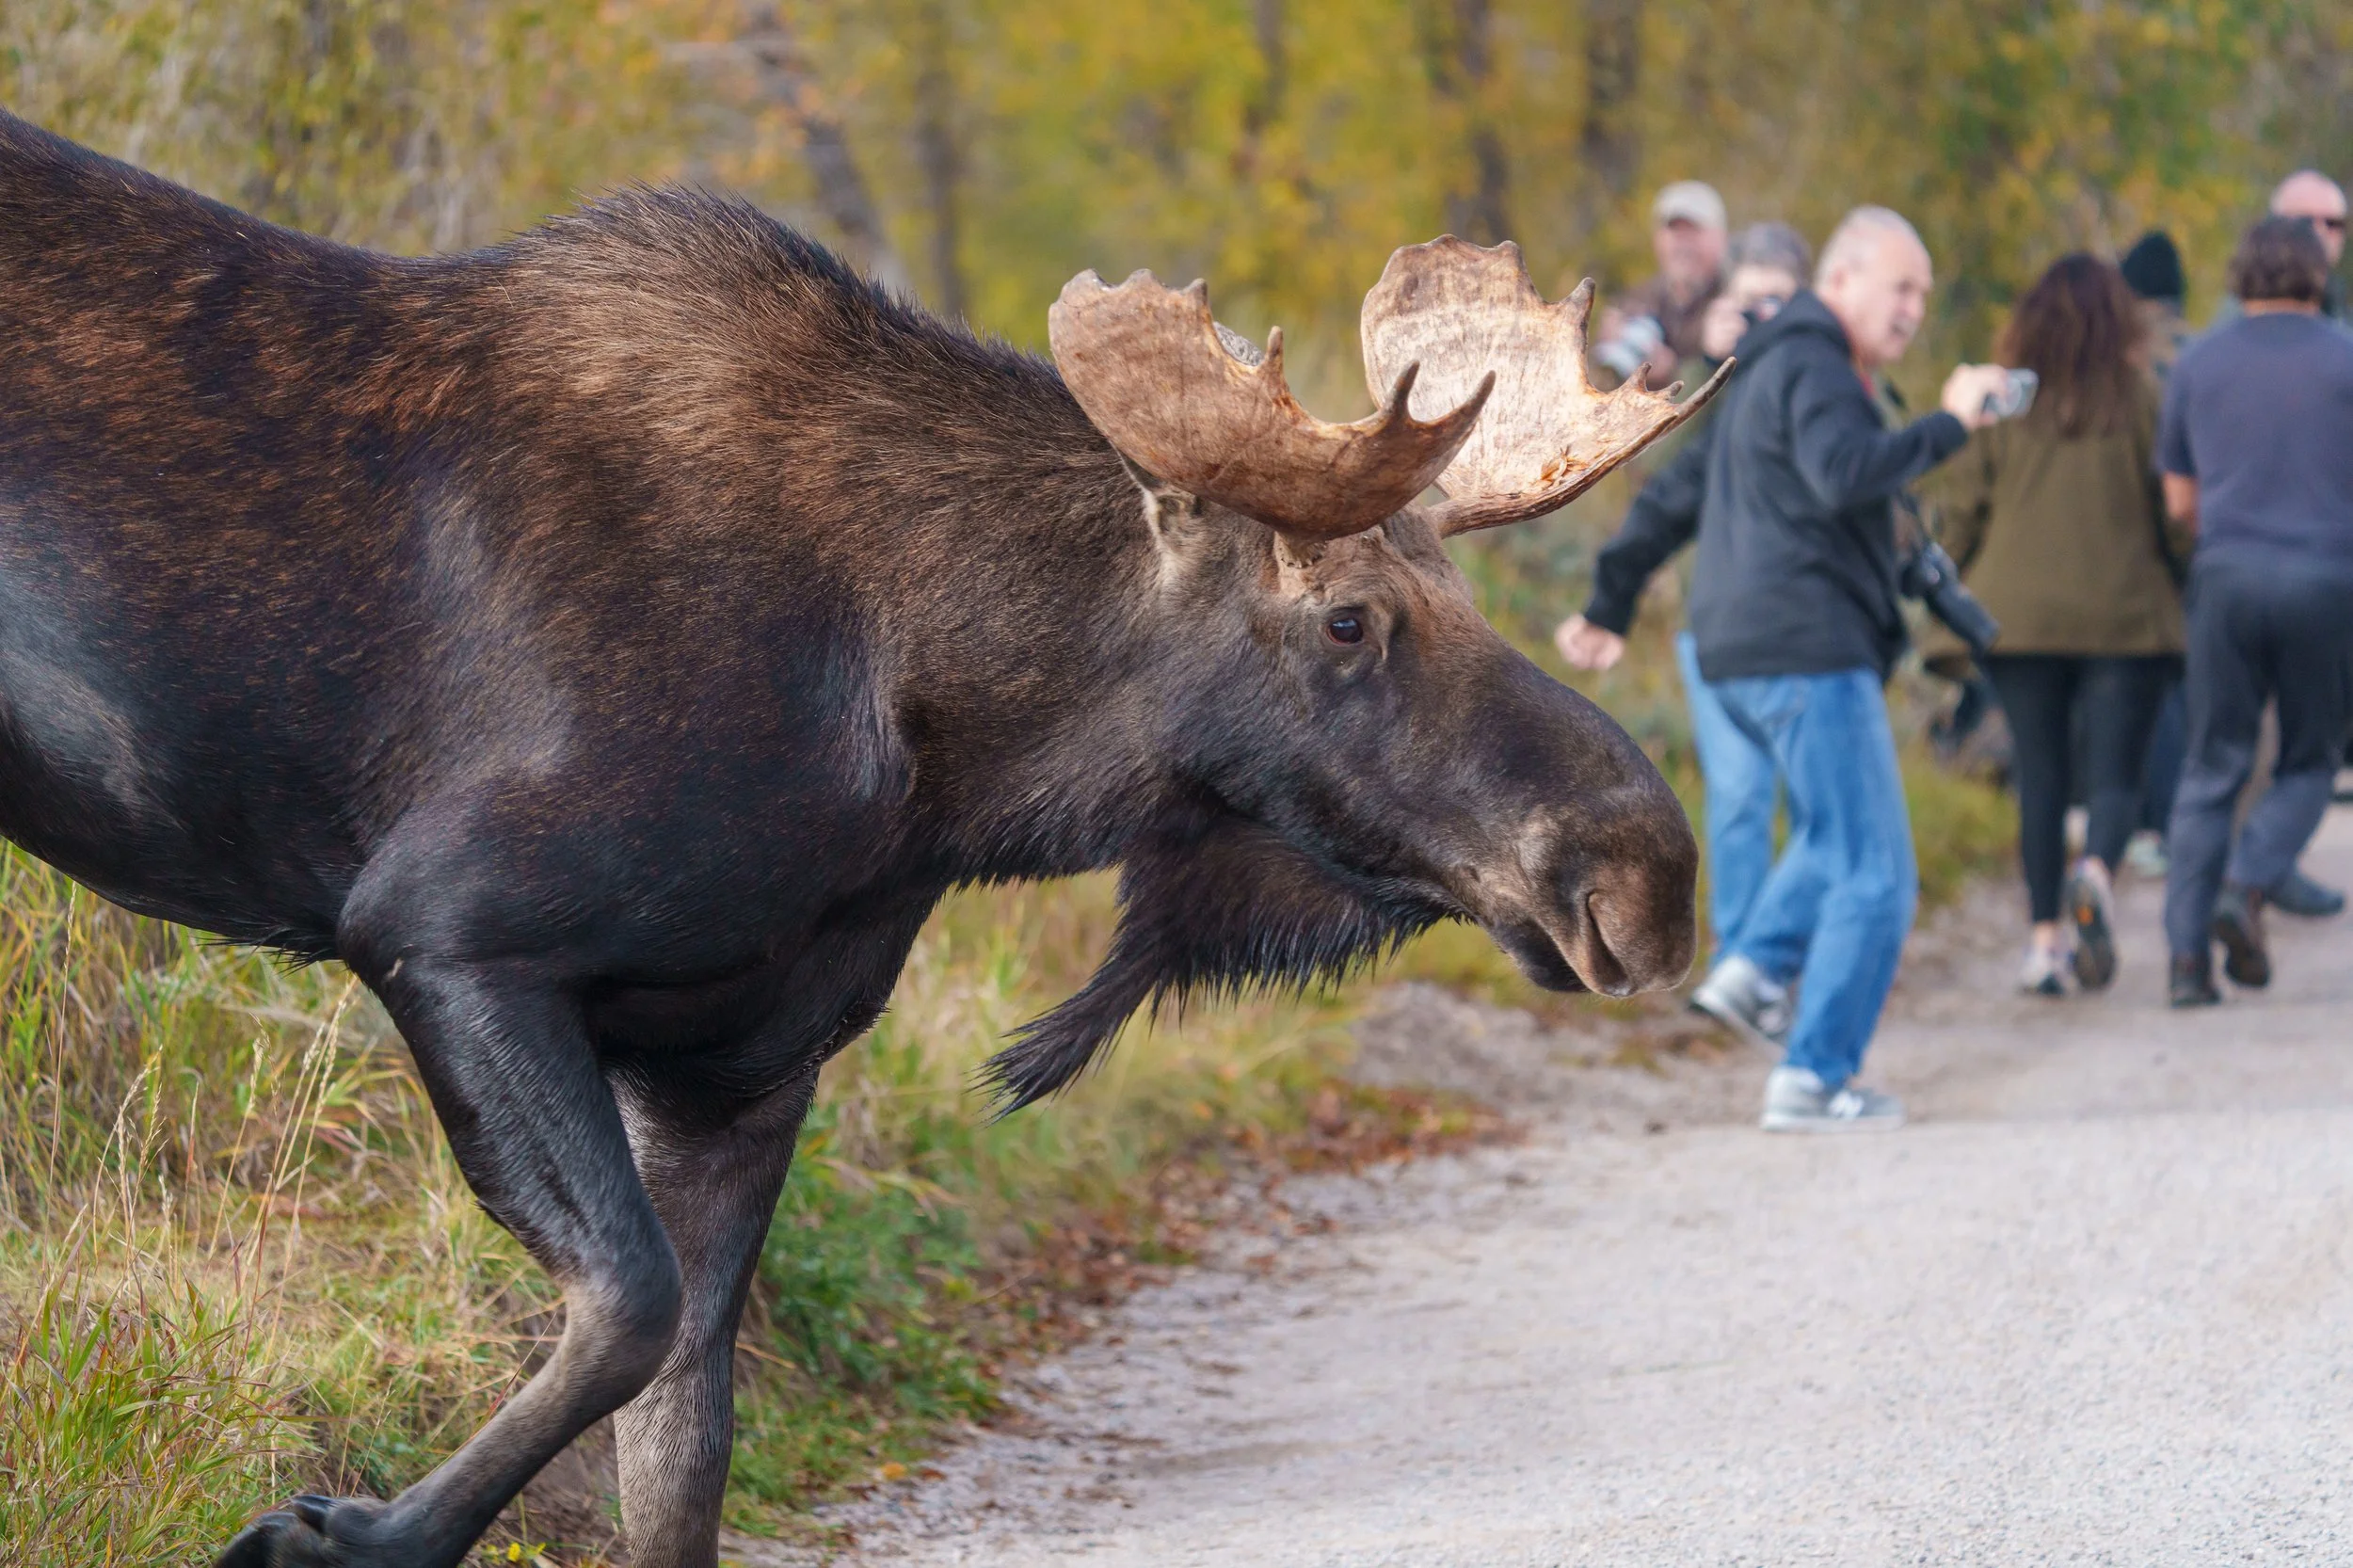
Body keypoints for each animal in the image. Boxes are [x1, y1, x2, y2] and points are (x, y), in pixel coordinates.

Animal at [0, 109, 1722, 1567]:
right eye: (1349, 616)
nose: (1645, 868)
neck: (923, 757)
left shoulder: (743, 1064)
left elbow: (682, 1446)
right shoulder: (445, 928)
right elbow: (626, 1309)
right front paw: (335, 1529)